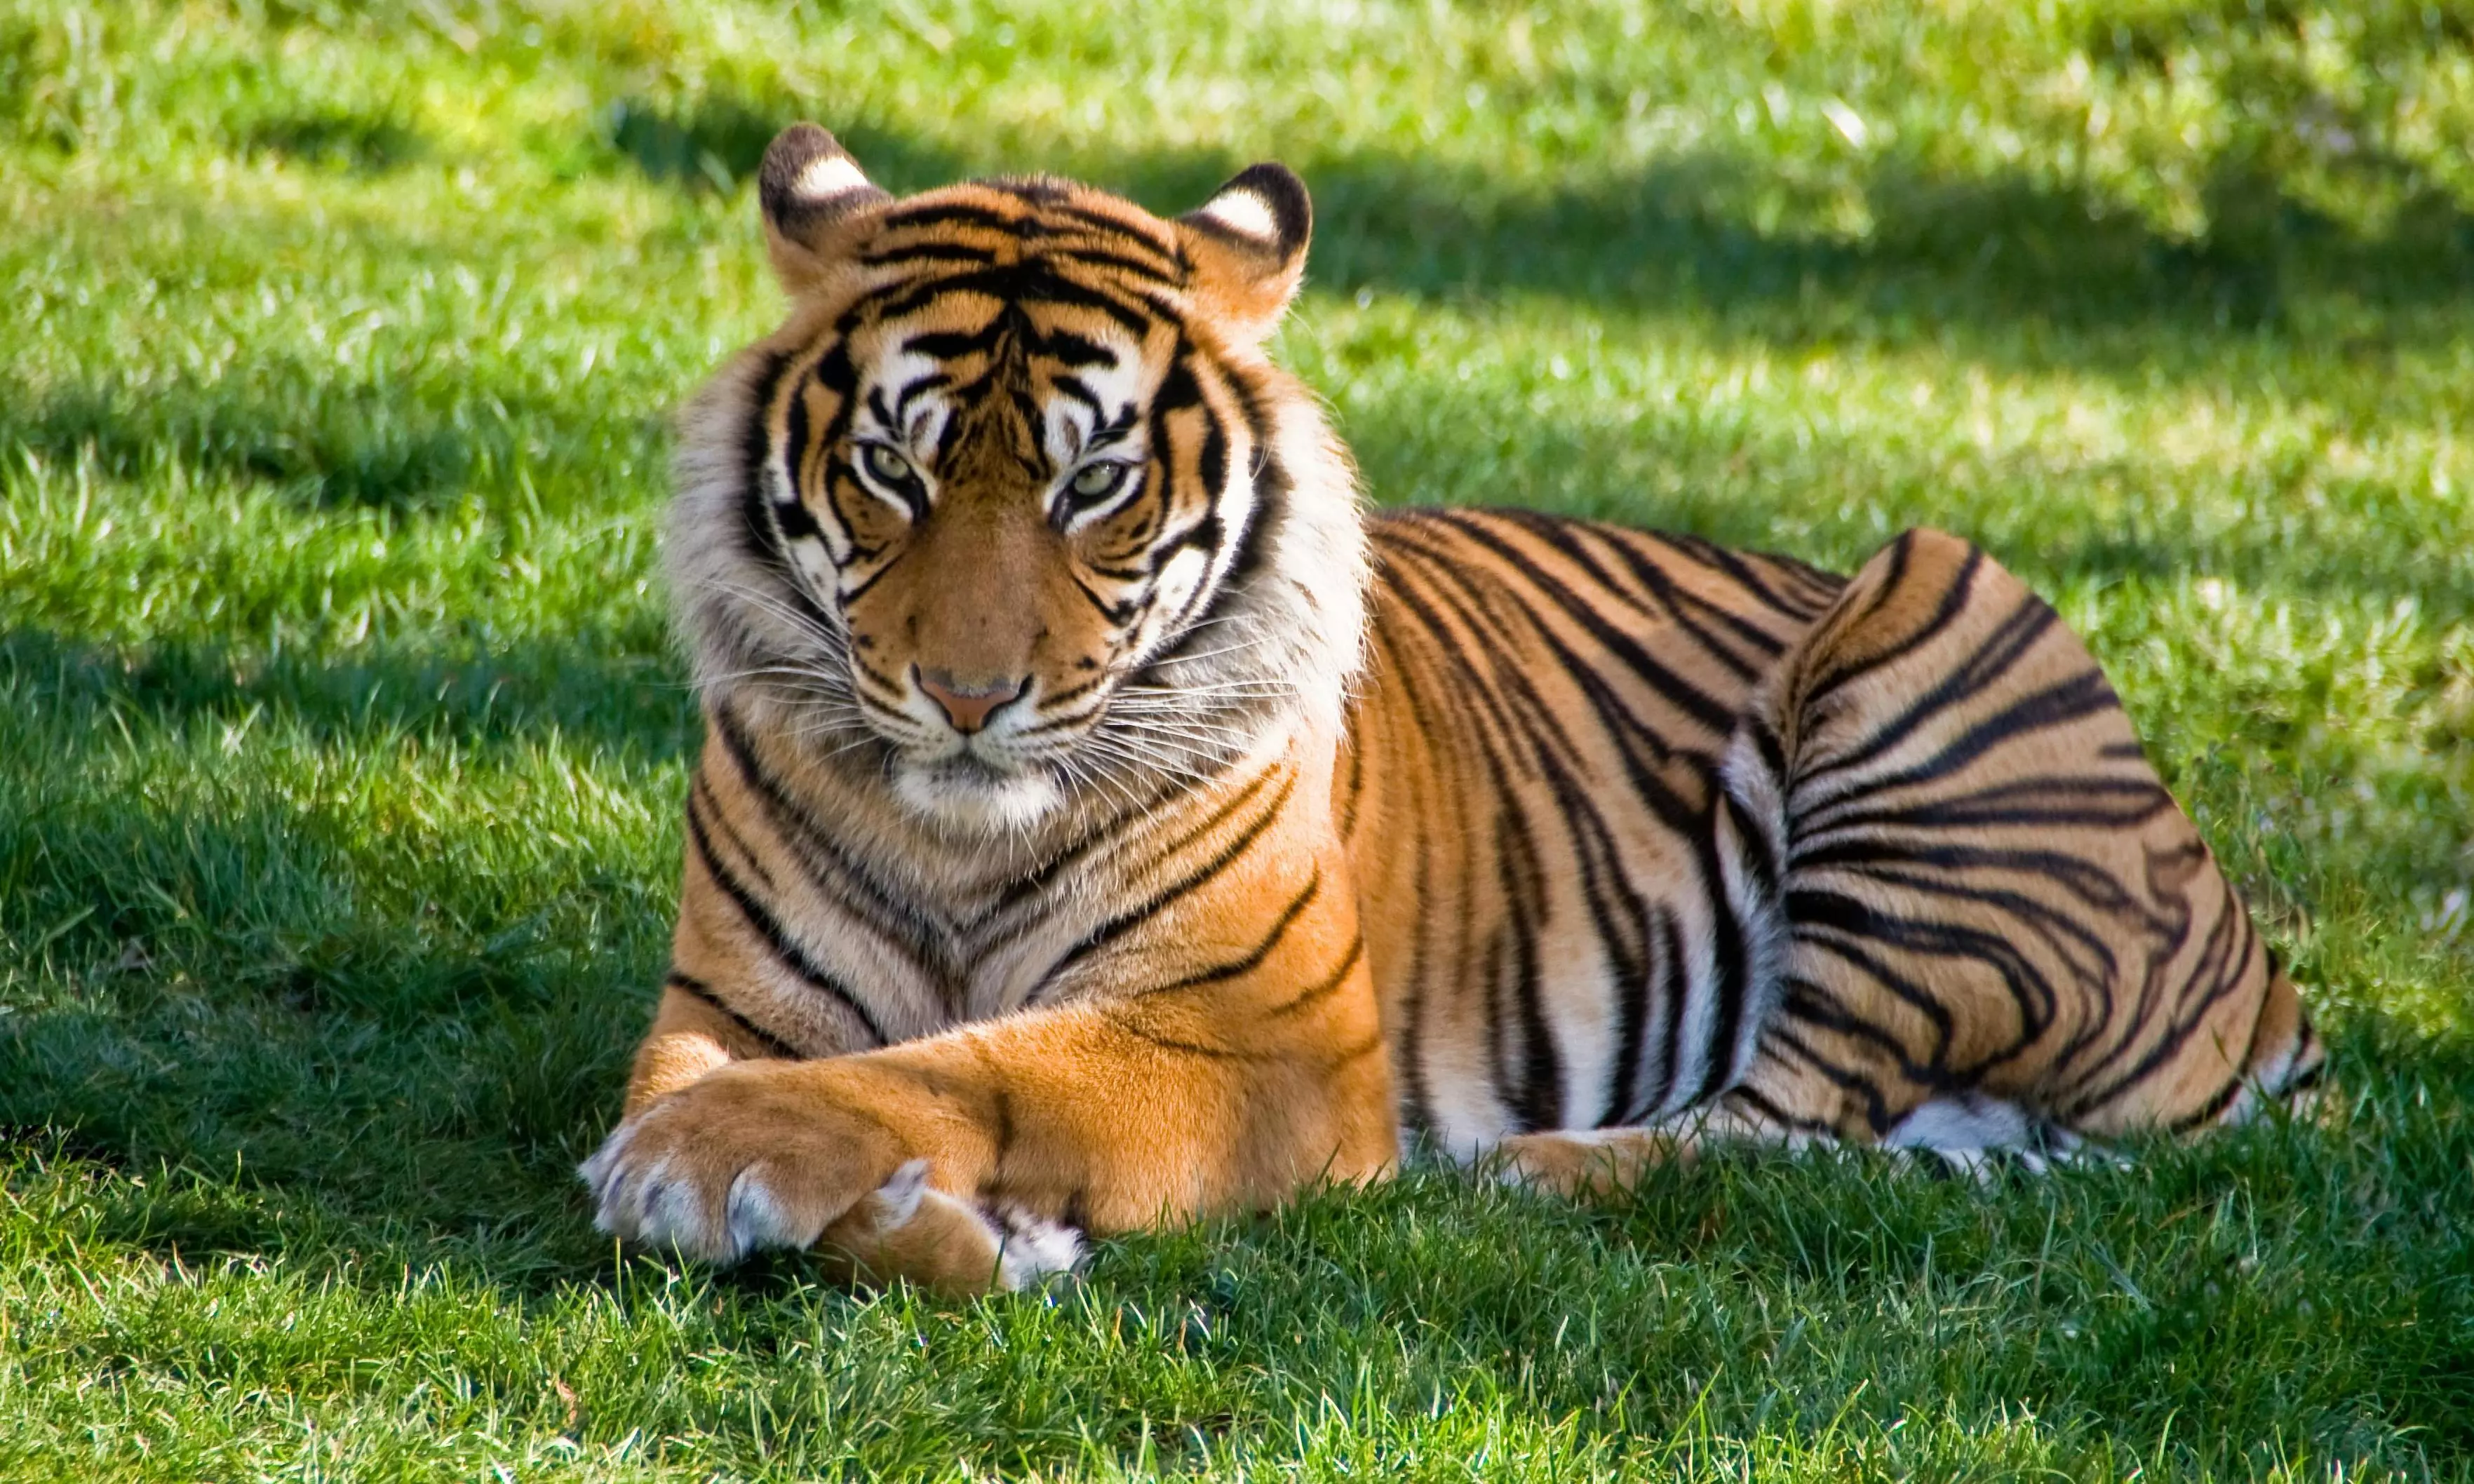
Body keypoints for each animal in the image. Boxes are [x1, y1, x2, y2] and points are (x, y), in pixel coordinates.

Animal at [579, 123, 2323, 1292]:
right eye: (893, 467)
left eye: (1092, 484)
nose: (962, 696)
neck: (958, 839)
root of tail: (2262, 976)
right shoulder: (725, 998)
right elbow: (773, 1079)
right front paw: (923, 1221)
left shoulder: (1263, 1039)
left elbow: (974, 1065)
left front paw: (708, 1165)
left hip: (1932, 602)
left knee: (1787, 1116)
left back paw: (1522, 1171)